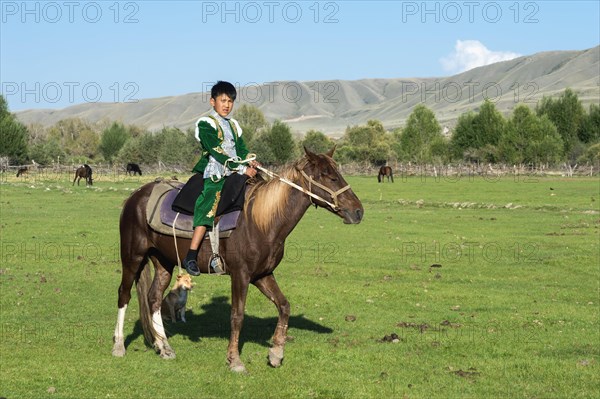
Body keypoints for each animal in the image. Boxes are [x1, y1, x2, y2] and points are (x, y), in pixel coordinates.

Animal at [111, 148, 366, 374]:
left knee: (154, 298)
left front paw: (276, 353)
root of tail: (135, 196)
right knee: (124, 294)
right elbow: (237, 316)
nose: (358, 211)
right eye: (328, 175)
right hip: (132, 257)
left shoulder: (263, 275)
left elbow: (284, 306)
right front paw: (235, 360)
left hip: (163, 261)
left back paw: (164, 347)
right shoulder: (240, 275)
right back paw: (119, 345)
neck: (260, 220)